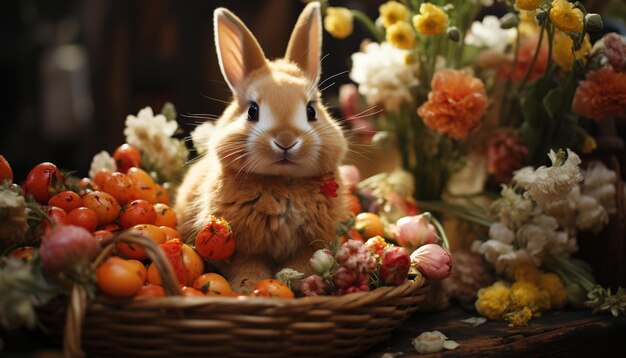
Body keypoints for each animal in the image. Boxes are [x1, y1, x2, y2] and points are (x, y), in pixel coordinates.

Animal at [176, 2, 348, 294]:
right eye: (252, 111)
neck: (283, 182)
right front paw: (248, 289)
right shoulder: (243, 248)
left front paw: (296, 285)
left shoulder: (308, 246)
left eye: (311, 111)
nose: (286, 140)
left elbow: (300, 266)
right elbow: (248, 268)